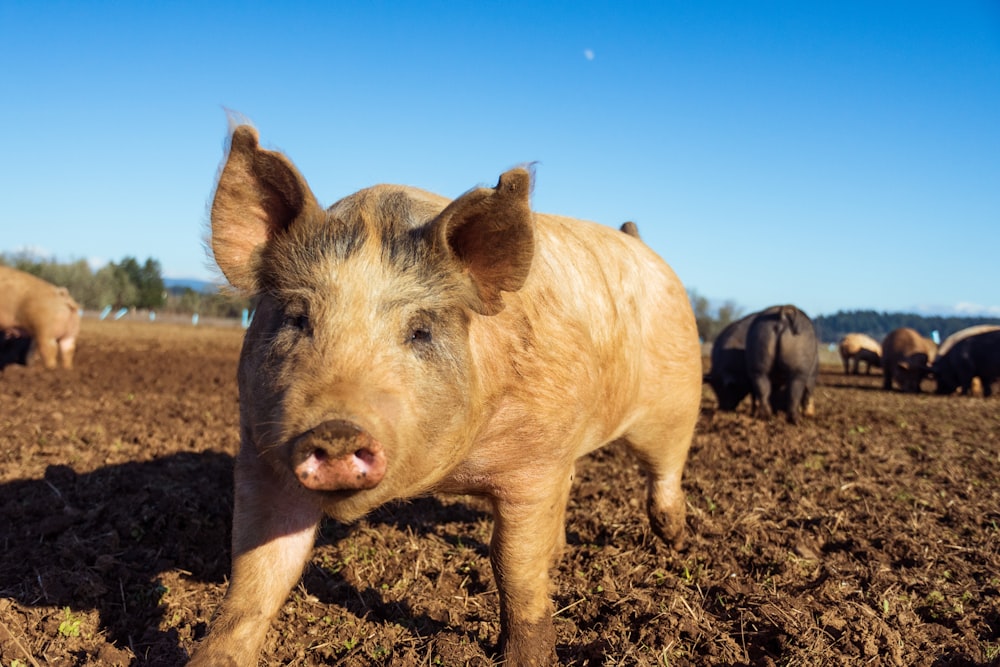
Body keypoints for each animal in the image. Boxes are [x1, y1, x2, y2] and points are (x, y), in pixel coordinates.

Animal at [189, 126, 704, 667]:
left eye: (420, 331)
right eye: (297, 318)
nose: (336, 428)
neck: (444, 477)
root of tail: (639, 241)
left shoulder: (534, 463)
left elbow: (513, 567)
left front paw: (524, 658)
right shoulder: (260, 452)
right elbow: (257, 575)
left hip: (676, 398)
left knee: (664, 469)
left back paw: (675, 540)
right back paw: (564, 553)